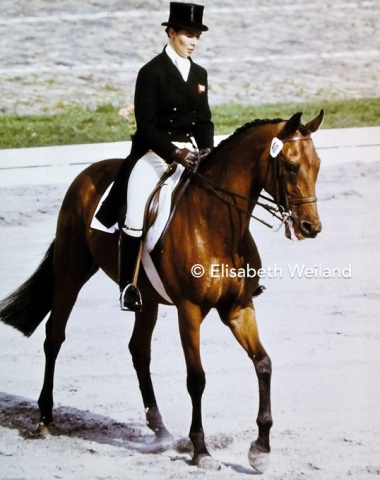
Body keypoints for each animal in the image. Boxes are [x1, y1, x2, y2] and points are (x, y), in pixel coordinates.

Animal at [0, 110, 324, 470]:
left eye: (317, 164)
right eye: (291, 166)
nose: (311, 227)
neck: (216, 223)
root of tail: (87, 173)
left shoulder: (238, 308)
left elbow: (263, 363)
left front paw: (261, 449)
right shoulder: (189, 310)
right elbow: (196, 379)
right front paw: (201, 449)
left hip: (147, 300)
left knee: (138, 351)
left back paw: (159, 429)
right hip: (71, 274)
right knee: (54, 337)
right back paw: (44, 417)